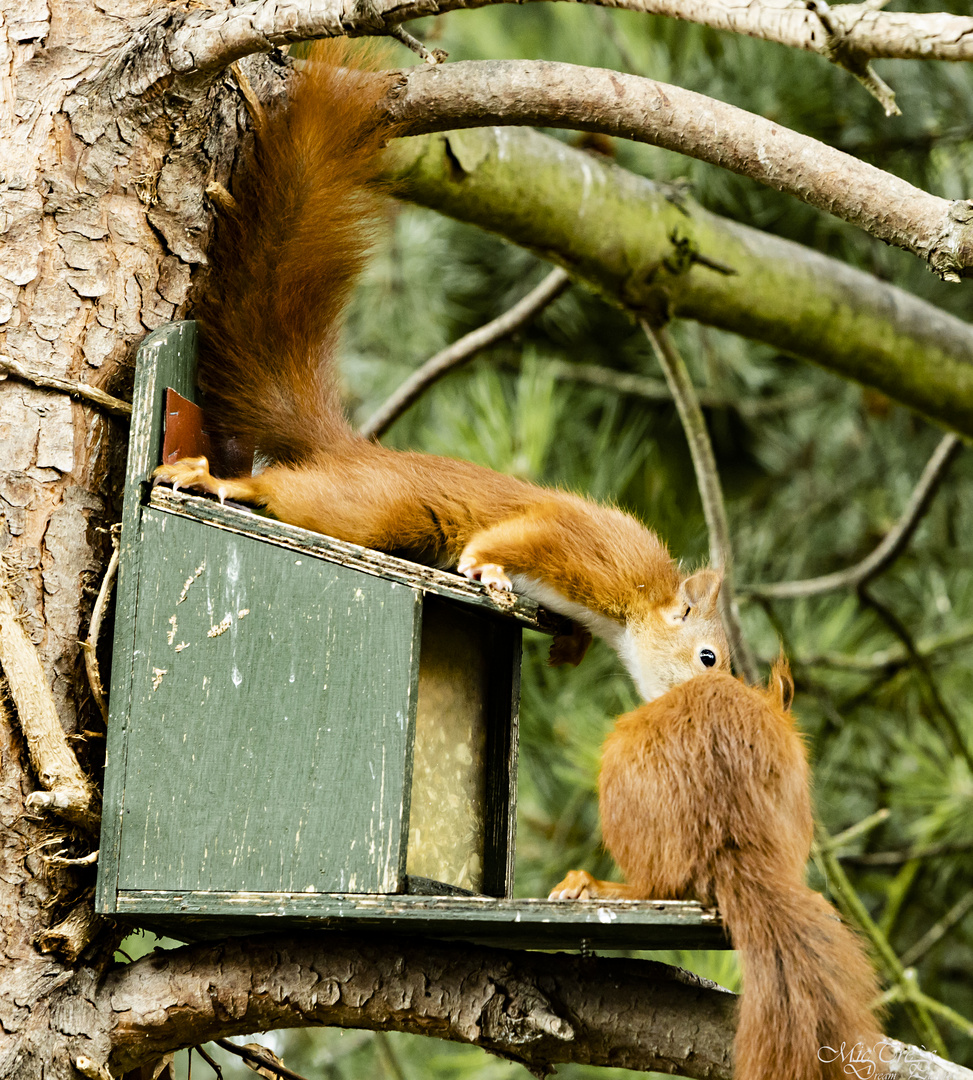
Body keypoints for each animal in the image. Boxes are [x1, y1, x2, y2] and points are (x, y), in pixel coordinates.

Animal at [152, 46, 730, 695]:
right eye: (709, 657)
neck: (639, 602)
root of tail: (358, 452)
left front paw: (570, 645)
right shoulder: (585, 546)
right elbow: (517, 535)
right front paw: (486, 566)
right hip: (375, 509)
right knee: (292, 495)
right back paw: (218, 481)